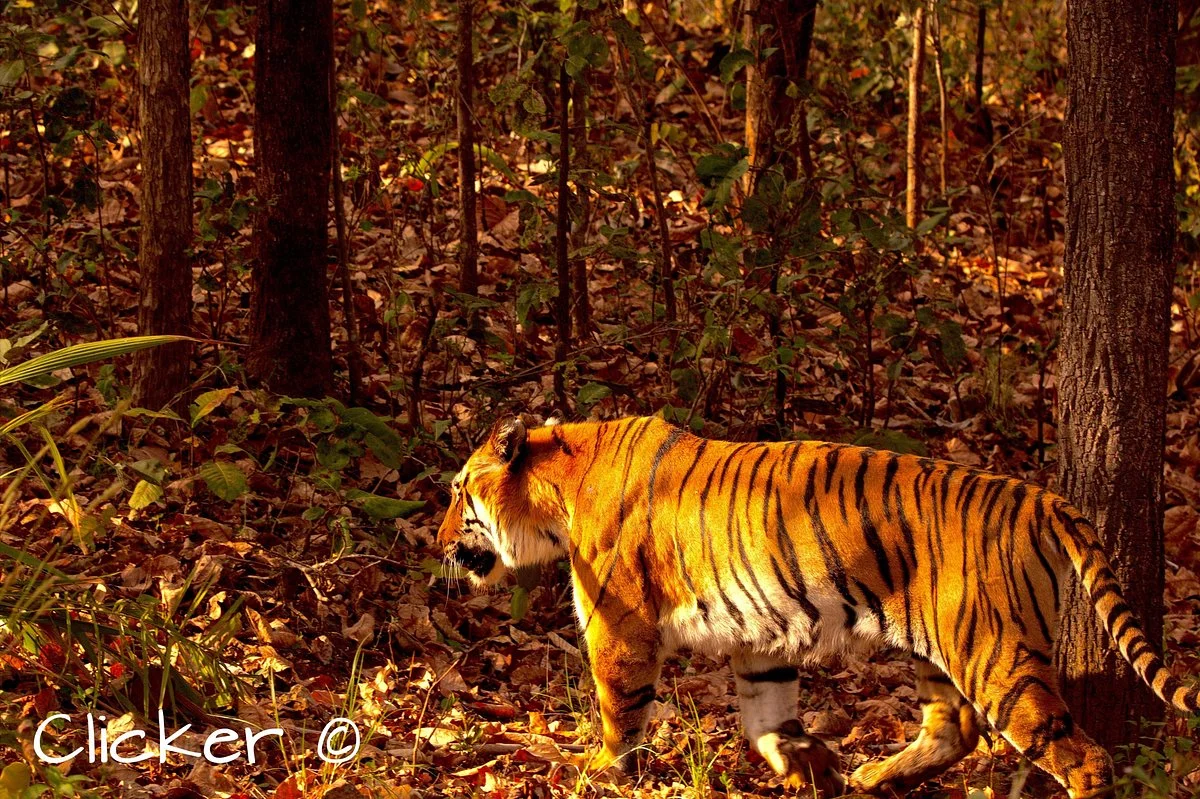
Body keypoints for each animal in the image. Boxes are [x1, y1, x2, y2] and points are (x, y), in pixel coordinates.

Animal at [436, 414, 1200, 797]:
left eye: (456, 491)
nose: (436, 541)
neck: (554, 490)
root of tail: (1040, 495)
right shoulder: (757, 640)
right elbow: (767, 719)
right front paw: (812, 767)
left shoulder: (615, 625)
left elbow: (619, 708)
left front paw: (600, 768)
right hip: (946, 648)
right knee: (952, 731)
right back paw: (871, 776)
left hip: (995, 656)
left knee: (1081, 757)